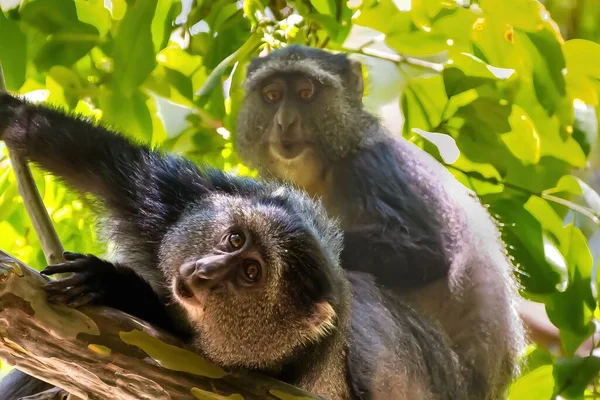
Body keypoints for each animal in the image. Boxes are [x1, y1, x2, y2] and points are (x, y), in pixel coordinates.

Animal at [0, 93, 466, 400]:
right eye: (234, 239)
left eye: (250, 272)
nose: (204, 272)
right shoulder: (183, 195)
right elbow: (94, 160)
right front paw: (9, 112)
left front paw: (117, 286)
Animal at [234, 44, 524, 400]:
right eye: (272, 95)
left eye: (306, 93)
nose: (285, 121)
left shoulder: (374, 163)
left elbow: (425, 253)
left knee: (359, 288)